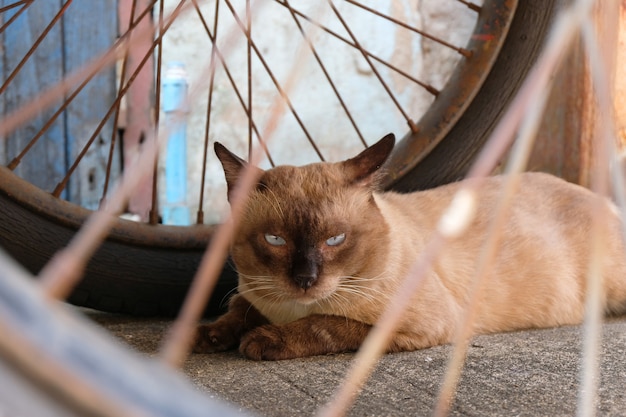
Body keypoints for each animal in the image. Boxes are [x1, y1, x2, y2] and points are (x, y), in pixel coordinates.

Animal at [193, 135, 624, 360]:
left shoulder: (412, 324)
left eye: (335, 240)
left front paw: (262, 340)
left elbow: (324, 324)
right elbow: (237, 310)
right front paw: (206, 336)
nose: (305, 279)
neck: (288, 309)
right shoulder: (254, 293)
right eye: (275, 240)